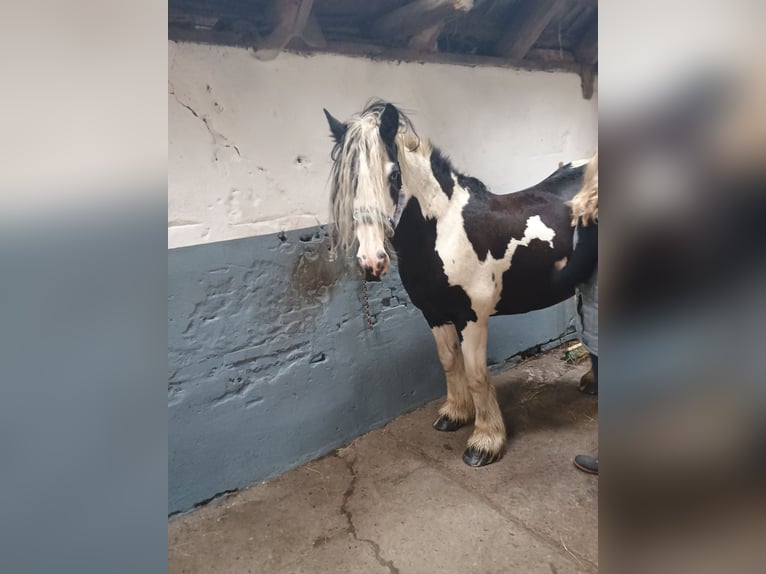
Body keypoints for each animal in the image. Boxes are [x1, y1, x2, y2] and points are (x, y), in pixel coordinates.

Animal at [322, 100, 588, 468]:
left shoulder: (471, 318)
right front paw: (455, 414)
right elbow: (449, 363)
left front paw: (485, 442)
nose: (372, 262)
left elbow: (477, 375)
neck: (444, 232)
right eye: (349, 181)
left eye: (393, 175)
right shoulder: (434, 314)